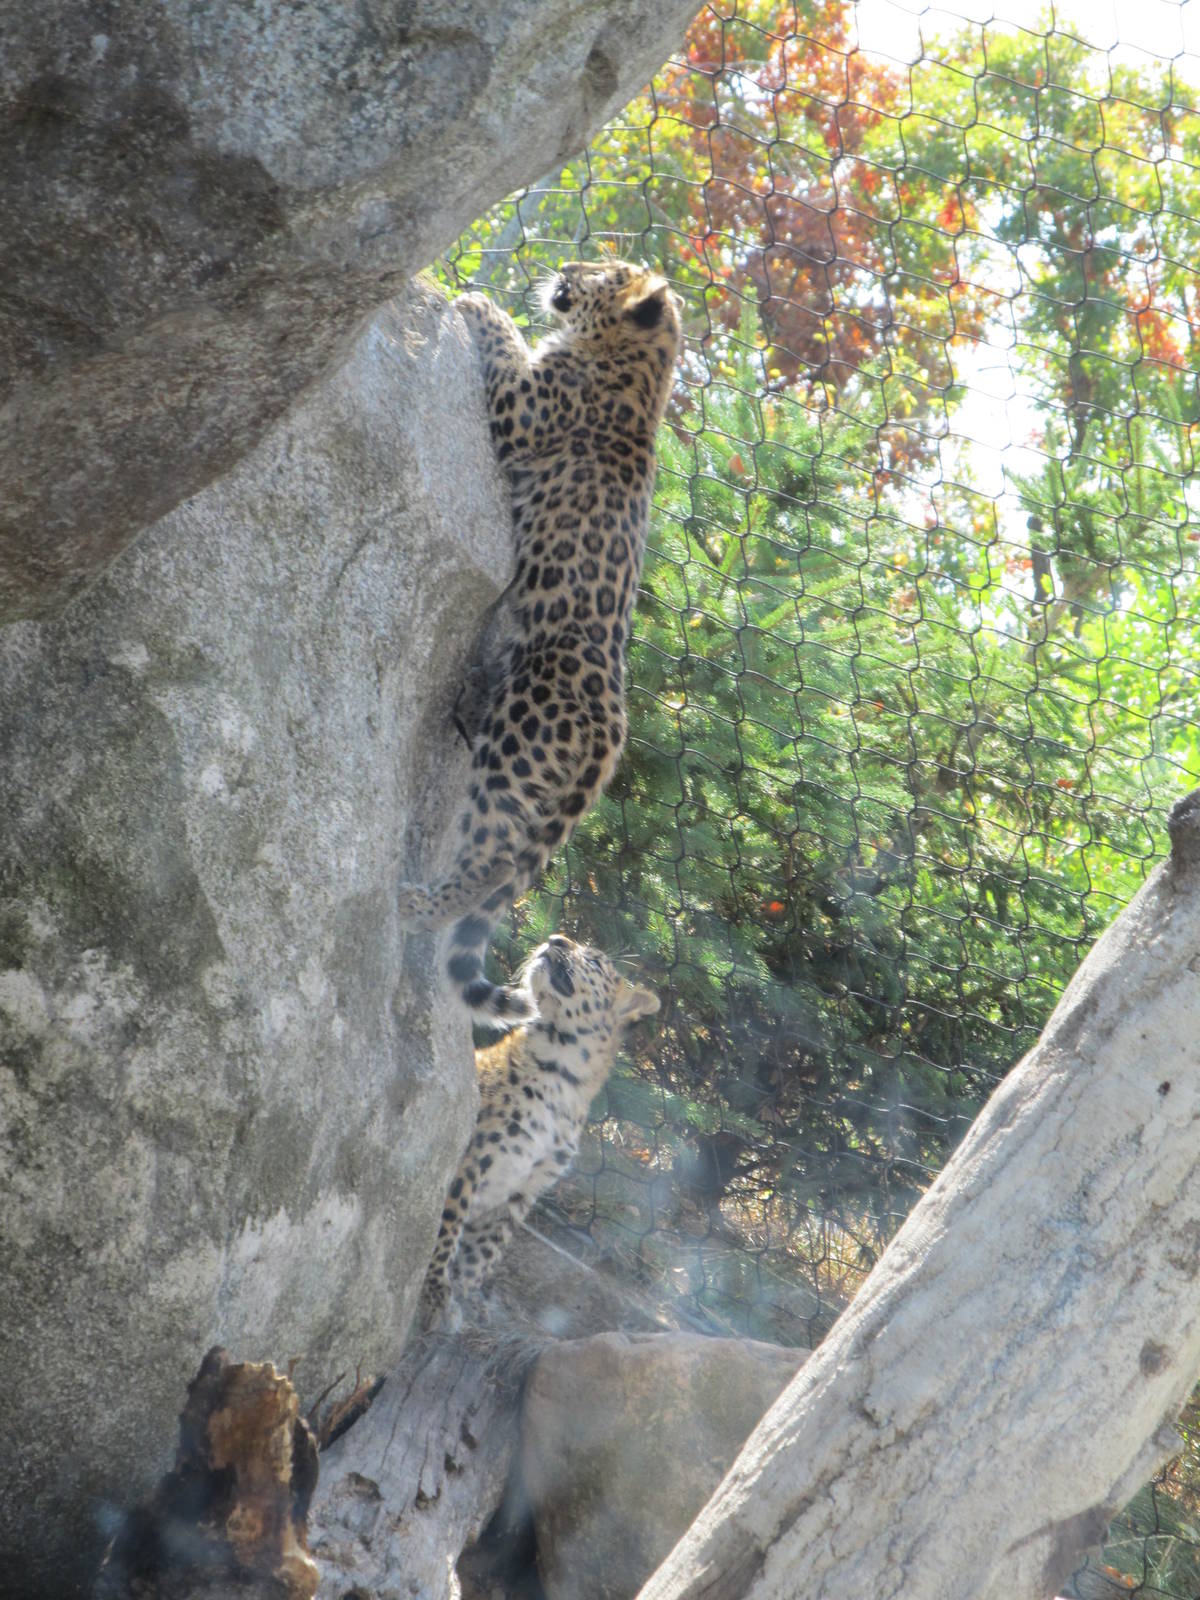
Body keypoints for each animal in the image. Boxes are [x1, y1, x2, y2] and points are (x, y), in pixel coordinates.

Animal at [396, 259, 683, 1026]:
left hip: (515, 747)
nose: (567, 267)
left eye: (604, 271)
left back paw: (417, 905)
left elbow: (504, 339)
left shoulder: (524, 411)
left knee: (493, 858)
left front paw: (475, 298)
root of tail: (614, 727)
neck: (638, 365)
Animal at [418, 933, 659, 1329]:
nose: (555, 938)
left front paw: (466, 1296)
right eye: (564, 939)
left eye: (594, 961)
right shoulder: (472, 1160)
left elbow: (483, 1251)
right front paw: (435, 1291)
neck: (561, 1073)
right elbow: (447, 1225)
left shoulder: (524, 1189)